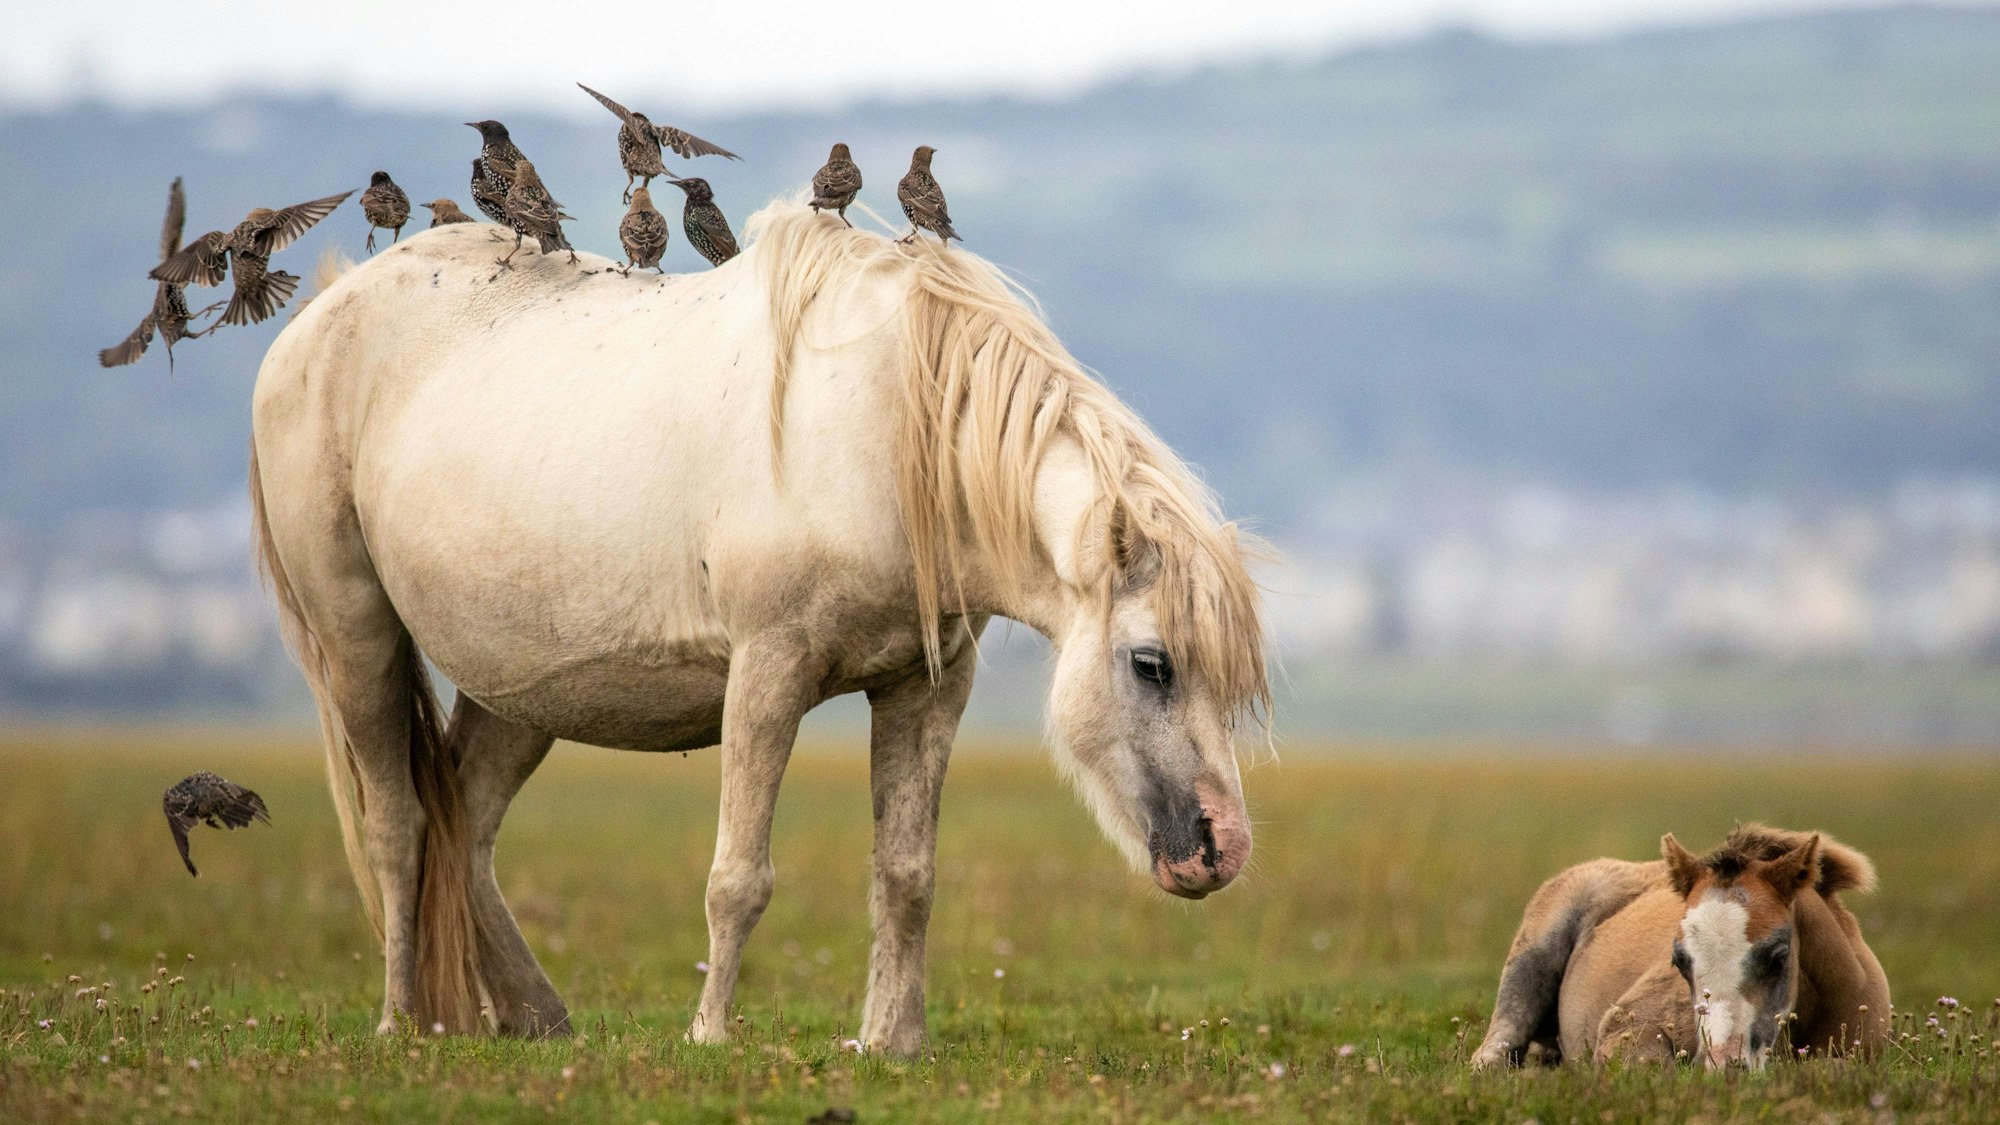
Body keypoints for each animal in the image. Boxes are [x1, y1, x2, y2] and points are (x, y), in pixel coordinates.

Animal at [246, 201, 1269, 1048]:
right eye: (1151, 663)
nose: (1222, 850)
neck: (888, 427)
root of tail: (318, 318)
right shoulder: (768, 670)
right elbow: (738, 877)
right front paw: (709, 1036)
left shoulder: (926, 685)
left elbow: (907, 874)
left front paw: (892, 1042)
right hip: (357, 641)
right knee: (400, 825)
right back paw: (401, 1020)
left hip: (522, 686)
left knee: (468, 819)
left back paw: (531, 1015)